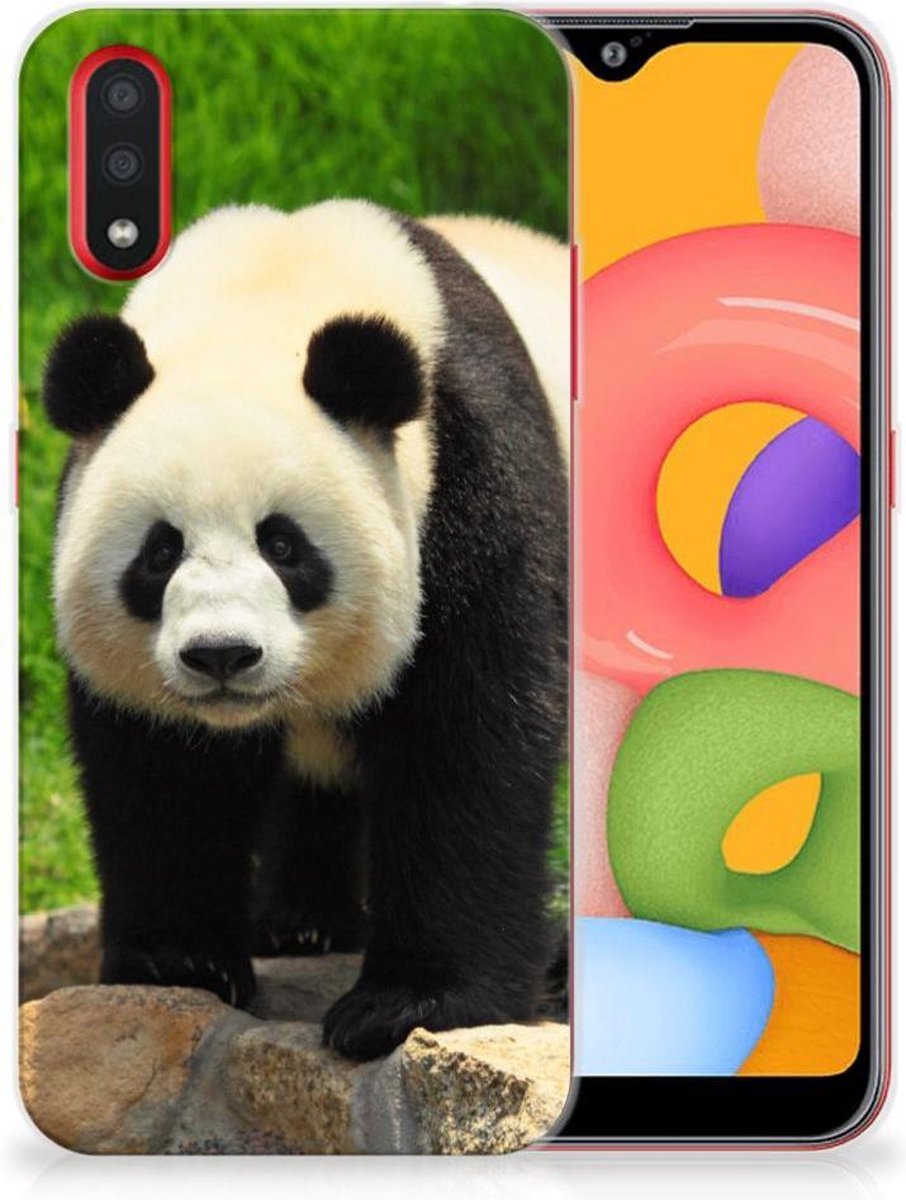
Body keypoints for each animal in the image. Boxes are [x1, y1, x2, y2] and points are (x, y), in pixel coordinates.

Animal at [44, 200, 568, 1061]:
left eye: (284, 545)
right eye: (160, 551)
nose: (221, 655)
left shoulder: (473, 478)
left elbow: (470, 737)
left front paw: (410, 1003)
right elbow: (163, 767)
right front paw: (178, 961)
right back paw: (301, 923)